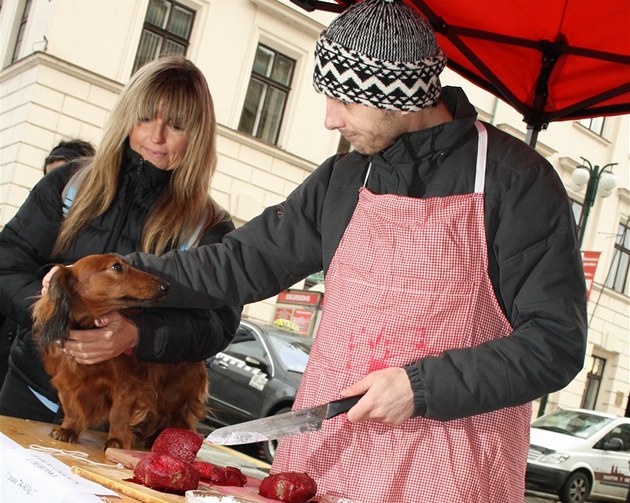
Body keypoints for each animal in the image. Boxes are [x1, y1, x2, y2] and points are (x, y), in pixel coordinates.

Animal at [32, 254, 209, 450]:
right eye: (117, 267)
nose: (166, 286)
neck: (89, 326)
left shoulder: (127, 385)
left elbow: (118, 414)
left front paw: (117, 441)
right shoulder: (66, 380)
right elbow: (71, 407)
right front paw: (68, 429)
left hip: (173, 396)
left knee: (176, 420)